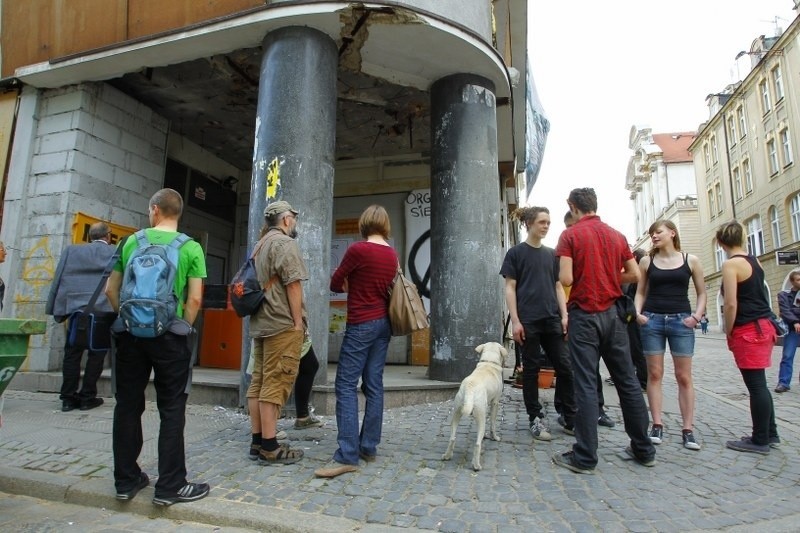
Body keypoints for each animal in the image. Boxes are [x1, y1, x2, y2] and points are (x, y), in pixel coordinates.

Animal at [444, 340, 506, 470]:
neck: (488, 362)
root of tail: (470, 387)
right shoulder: (495, 402)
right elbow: (492, 423)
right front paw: (494, 437)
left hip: (456, 413)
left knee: (452, 438)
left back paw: (447, 456)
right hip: (480, 416)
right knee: (477, 444)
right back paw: (476, 465)